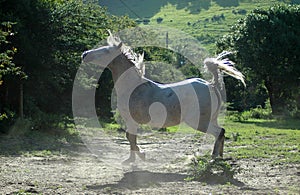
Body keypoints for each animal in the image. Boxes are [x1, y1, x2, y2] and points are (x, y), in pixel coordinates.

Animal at [81, 32, 245, 164]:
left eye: (106, 50)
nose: (84, 54)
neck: (133, 87)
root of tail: (211, 85)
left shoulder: (131, 120)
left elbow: (130, 138)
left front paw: (137, 158)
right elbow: (130, 138)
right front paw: (133, 159)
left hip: (198, 121)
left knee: (219, 132)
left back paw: (213, 158)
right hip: (211, 119)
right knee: (221, 133)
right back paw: (220, 158)